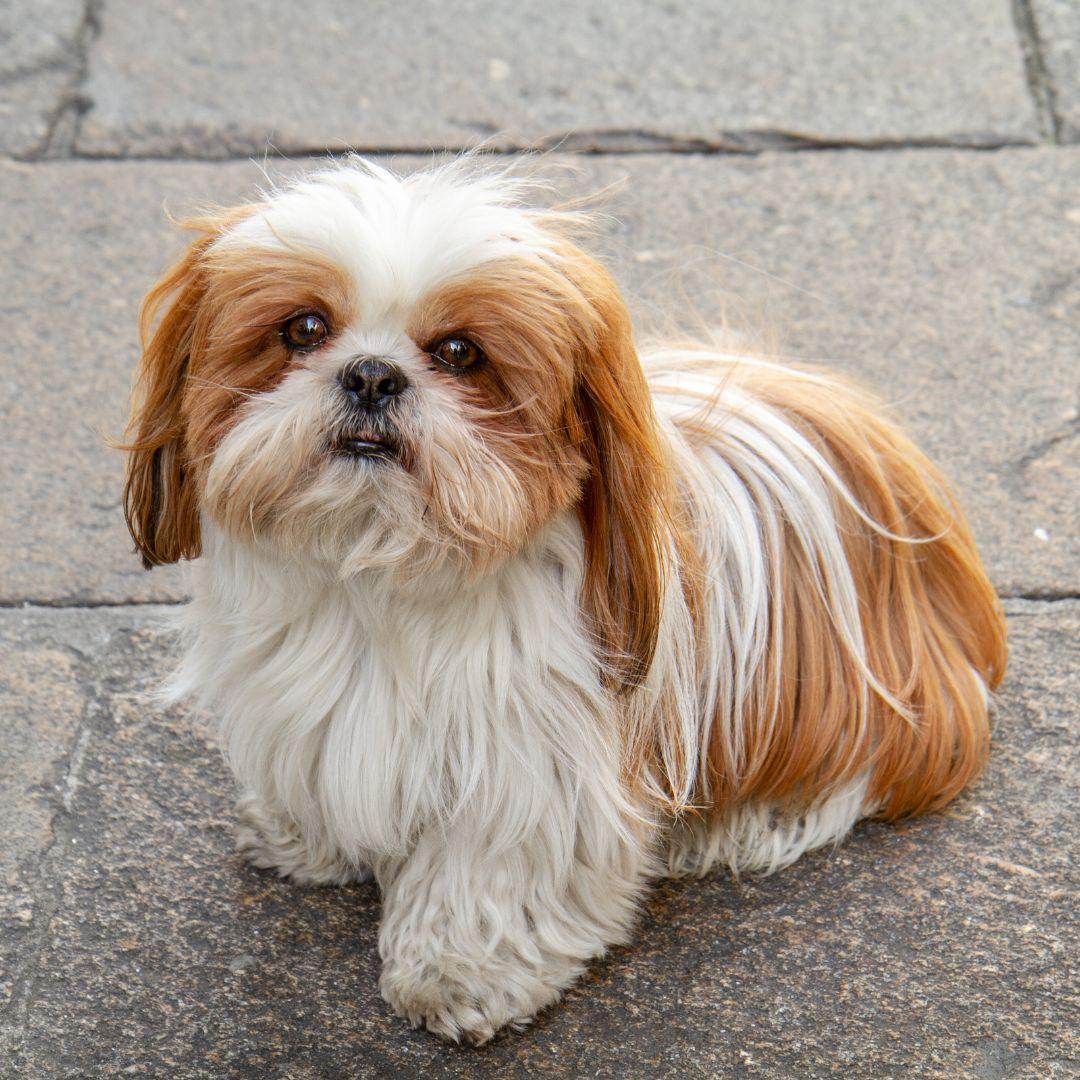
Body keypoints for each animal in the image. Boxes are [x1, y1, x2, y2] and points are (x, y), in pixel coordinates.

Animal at [122, 156, 1006, 1041]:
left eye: (460, 352)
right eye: (303, 329)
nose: (372, 374)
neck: (383, 573)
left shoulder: (529, 764)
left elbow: (488, 872)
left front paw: (456, 973)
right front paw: (305, 838)